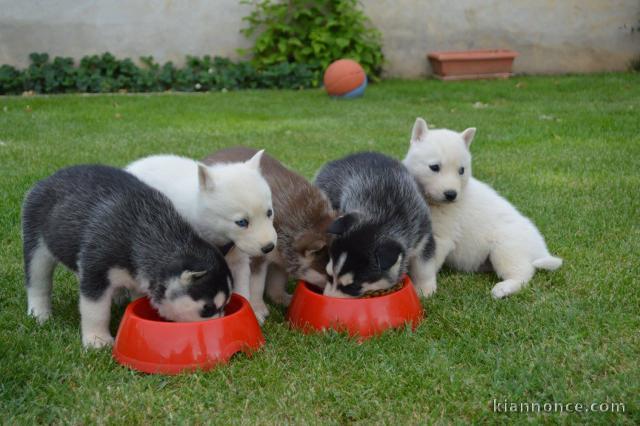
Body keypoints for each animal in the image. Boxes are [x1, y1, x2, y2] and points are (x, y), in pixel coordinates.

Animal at [24, 165, 238, 348]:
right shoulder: (97, 269)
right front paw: (97, 340)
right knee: (38, 281)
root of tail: (51, 176)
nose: (220, 328)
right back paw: (39, 314)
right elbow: (95, 309)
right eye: (208, 309)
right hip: (35, 240)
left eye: (225, 305)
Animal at [204, 146, 336, 320]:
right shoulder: (256, 255)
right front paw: (257, 308)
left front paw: (281, 298)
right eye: (331, 277)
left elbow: (277, 281)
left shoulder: (281, 258)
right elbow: (256, 284)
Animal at [314, 151, 438, 298]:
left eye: (353, 286)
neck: (385, 216)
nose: (327, 300)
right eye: (328, 275)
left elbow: (424, 265)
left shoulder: (423, 235)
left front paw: (425, 289)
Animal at [402, 117, 564, 300]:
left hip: (505, 248)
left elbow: (426, 265)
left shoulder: (440, 238)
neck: (434, 203)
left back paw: (503, 288)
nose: (451, 194)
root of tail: (541, 251)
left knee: (523, 273)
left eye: (461, 170)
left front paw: (423, 289)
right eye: (434, 167)